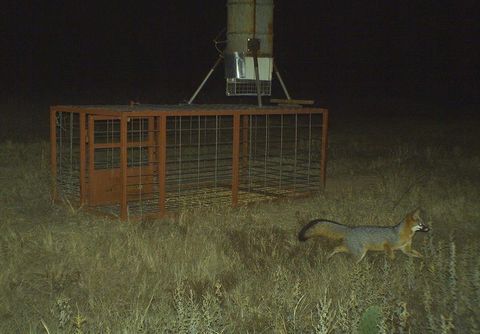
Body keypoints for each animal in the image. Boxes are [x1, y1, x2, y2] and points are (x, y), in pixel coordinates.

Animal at [298, 209, 430, 264]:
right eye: (421, 224)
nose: (428, 228)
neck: (404, 233)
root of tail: (350, 228)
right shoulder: (387, 244)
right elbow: (391, 255)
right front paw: (392, 262)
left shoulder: (406, 250)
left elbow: (418, 254)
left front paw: (424, 259)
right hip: (360, 253)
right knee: (349, 261)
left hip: (353, 249)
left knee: (337, 248)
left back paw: (329, 257)